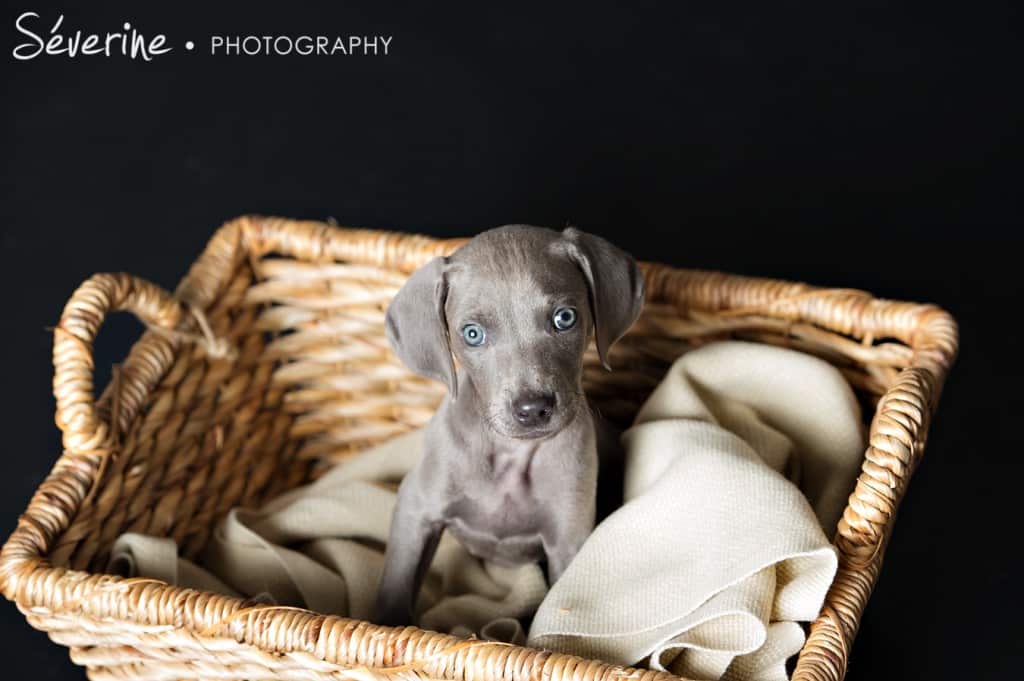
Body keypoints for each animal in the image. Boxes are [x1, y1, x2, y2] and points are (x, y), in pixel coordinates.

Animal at [372, 224, 643, 626]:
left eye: (565, 318)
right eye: (472, 334)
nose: (533, 409)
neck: (510, 453)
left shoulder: (569, 537)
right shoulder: (415, 508)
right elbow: (397, 585)